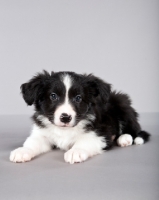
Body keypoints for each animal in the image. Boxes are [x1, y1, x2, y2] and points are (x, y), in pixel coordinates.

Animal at [9, 70, 149, 164]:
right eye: (53, 96)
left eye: (78, 98)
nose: (65, 117)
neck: (64, 130)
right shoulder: (42, 134)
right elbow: (32, 142)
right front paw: (22, 151)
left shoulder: (100, 134)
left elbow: (84, 141)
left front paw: (75, 151)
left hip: (122, 103)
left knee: (134, 130)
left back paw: (125, 138)